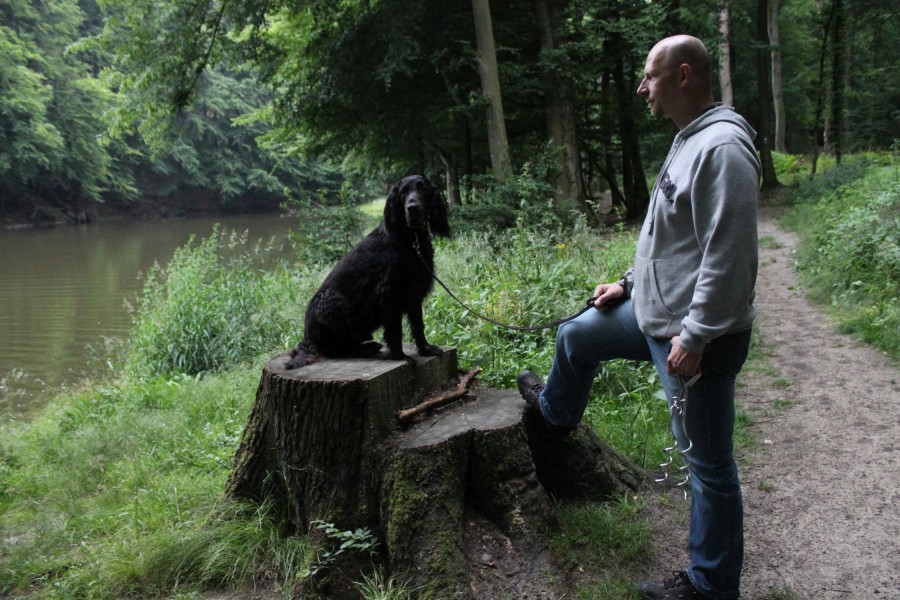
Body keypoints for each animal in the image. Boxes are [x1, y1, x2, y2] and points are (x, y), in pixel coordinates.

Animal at [286, 175, 451, 369]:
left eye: (422, 188)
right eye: (403, 192)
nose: (412, 208)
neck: (410, 239)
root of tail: (307, 340)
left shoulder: (414, 291)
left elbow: (418, 325)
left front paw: (425, 349)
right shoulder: (389, 292)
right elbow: (395, 330)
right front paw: (400, 356)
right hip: (331, 298)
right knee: (337, 349)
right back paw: (366, 348)